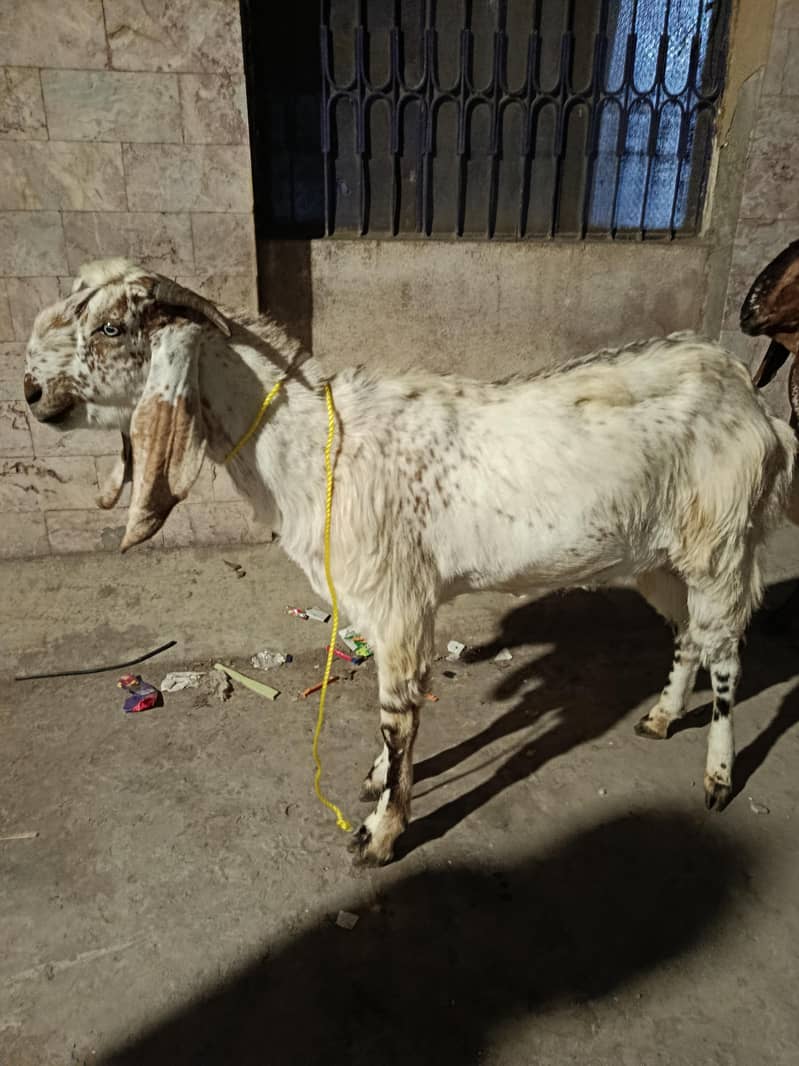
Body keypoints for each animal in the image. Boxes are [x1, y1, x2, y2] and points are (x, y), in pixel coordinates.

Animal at [24, 259, 796, 865]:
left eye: (110, 328)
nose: (32, 394)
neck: (314, 448)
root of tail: (753, 402)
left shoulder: (398, 601)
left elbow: (398, 718)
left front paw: (379, 833)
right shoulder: (378, 604)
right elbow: (401, 713)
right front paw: (375, 784)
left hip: (721, 545)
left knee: (726, 654)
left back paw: (718, 778)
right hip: (658, 557)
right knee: (688, 636)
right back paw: (661, 717)